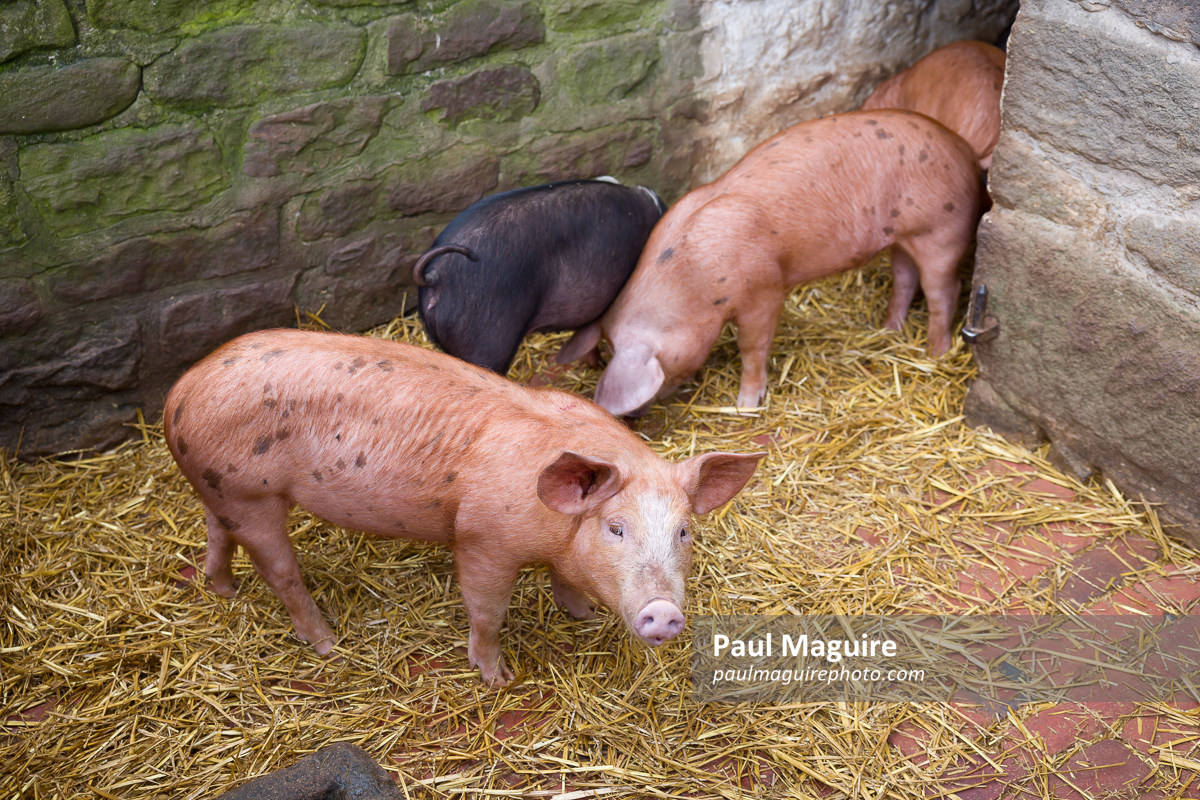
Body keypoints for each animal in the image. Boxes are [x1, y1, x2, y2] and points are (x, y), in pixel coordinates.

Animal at [163, 329, 763, 686]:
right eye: (615, 528)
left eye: (684, 532)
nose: (664, 611)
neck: (555, 529)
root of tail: (179, 393)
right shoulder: (482, 540)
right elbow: (486, 612)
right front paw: (497, 679)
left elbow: (564, 581)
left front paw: (583, 615)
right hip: (251, 495)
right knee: (281, 570)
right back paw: (329, 645)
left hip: (222, 491)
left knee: (217, 532)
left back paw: (222, 590)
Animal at [557, 110, 987, 416]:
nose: (633, 417)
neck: (692, 282)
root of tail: (965, 151)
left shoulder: (763, 290)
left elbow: (753, 346)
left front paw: (746, 405)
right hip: (902, 237)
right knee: (904, 276)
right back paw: (887, 329)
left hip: (940, 230)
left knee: (945, 290)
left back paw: (935, 352)